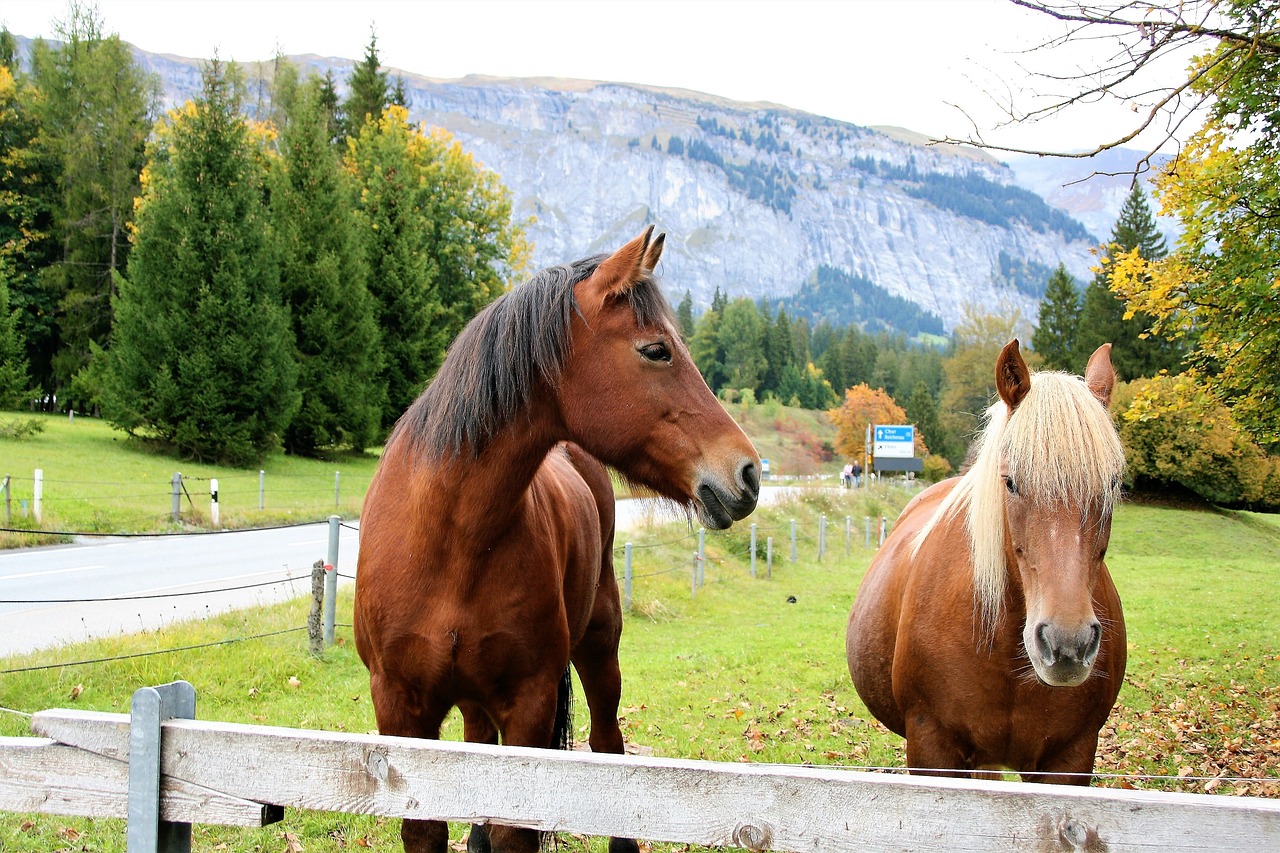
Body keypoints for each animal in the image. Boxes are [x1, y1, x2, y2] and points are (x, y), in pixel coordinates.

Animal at [355, 227, 757, 850]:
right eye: (656, 350)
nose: (749, 473)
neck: (449, 538)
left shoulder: (528, 703)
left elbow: (515, 828)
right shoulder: (400, 709)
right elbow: (427, 828)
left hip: (600, 647)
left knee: (607, 745)